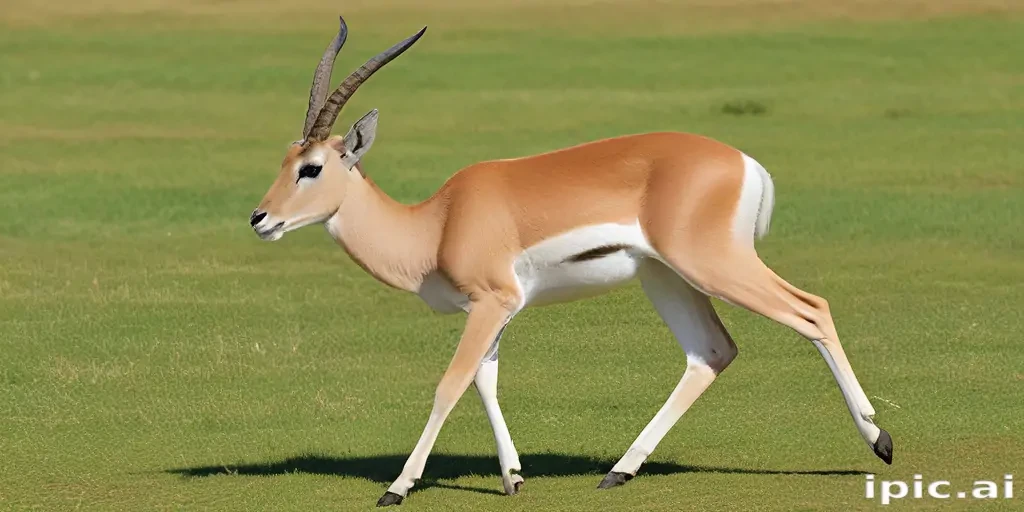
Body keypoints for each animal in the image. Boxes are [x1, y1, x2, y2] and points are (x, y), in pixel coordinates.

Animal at [249, 17, 894, 507]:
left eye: (312, 168)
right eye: (285, 158)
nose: (260, 218)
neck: (437, 223)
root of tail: (743, 161)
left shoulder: (491, 302)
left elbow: (450, 383)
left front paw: (398, 487)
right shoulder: (498, 309)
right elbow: (485, 380)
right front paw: (512, 477)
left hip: (714, 267)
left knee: (811, 310)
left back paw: (880, 441)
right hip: (666, 278)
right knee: (711, 352)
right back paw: (619, 470)